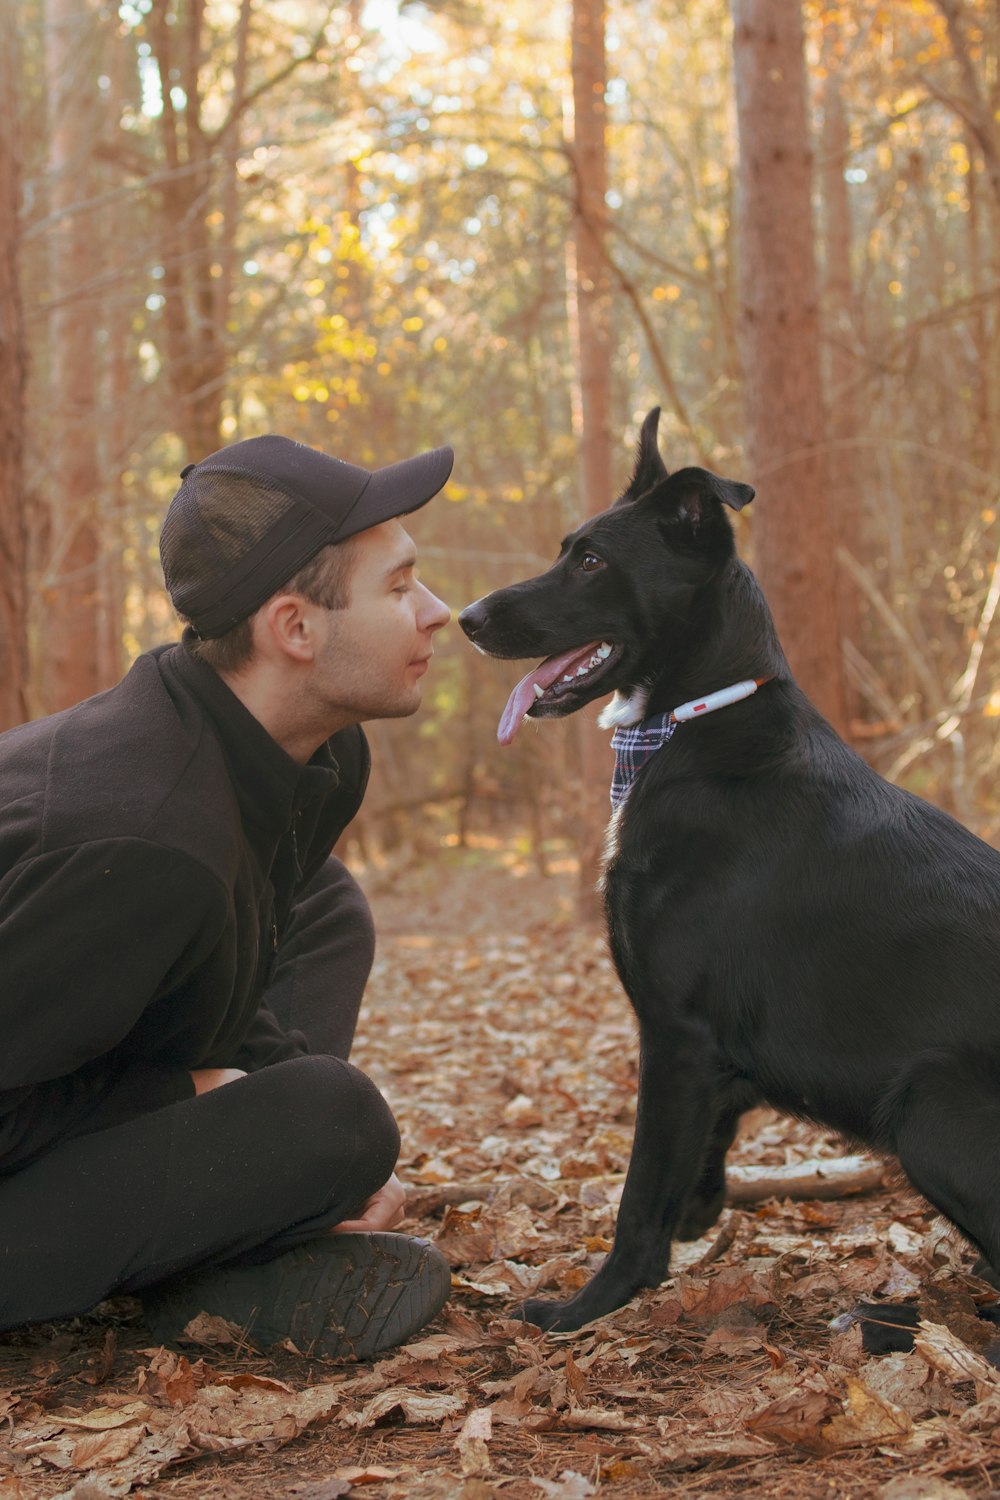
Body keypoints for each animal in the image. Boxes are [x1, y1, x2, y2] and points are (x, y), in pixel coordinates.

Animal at [464, 405, 1000, 1332]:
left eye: (592, 560)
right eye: (569, 549)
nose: (465, 616)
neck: (693, 720)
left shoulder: (675, 1034)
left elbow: (640, 1191)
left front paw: (591, 1303)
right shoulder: (709, 1053)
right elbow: (706, 1142)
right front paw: (701, 1208)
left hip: (930, 1103)